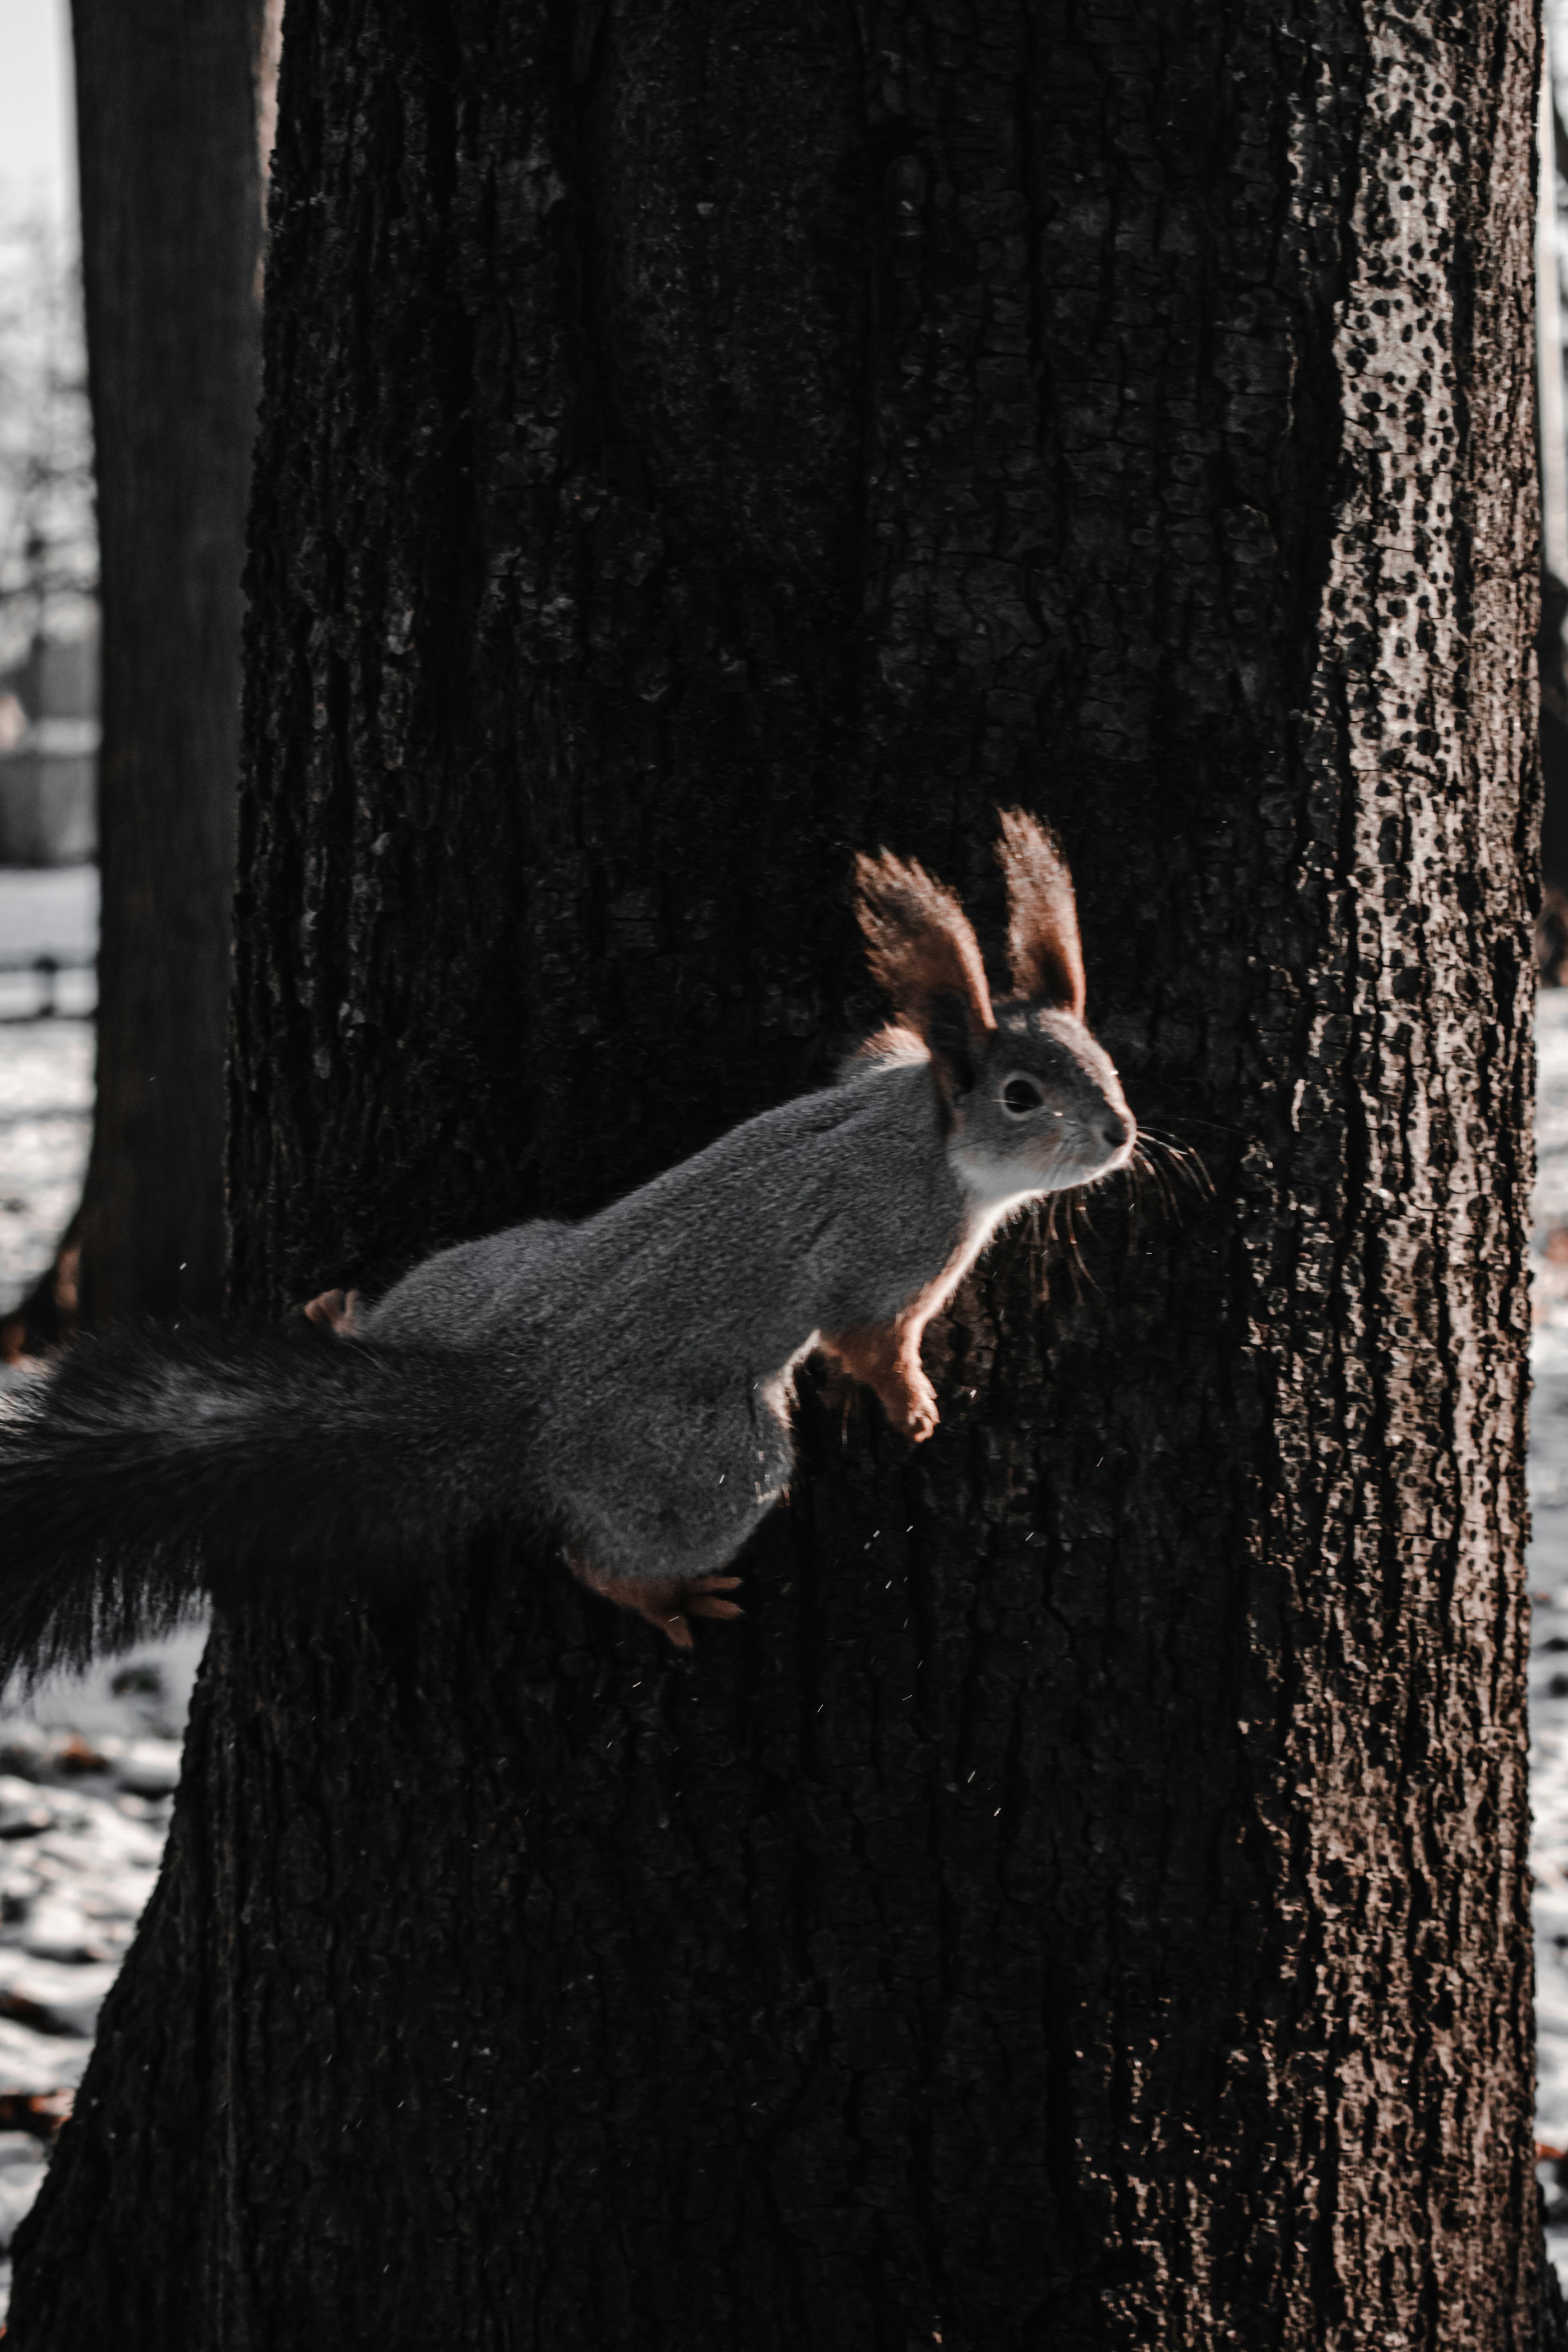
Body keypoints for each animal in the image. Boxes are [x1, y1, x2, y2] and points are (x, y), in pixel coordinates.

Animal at [0, 809, 1134, 1676]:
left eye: (1104, 1061)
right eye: (1022, 1097)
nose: (1122, 1133)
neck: (928, 1133)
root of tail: (509, 1392)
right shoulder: (889, 1247)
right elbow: (869, 1338)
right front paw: (914, 1405)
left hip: (486, 1268)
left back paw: (343, 1312)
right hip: (707, 1456)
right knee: (607, 1552)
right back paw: (663, 1599)